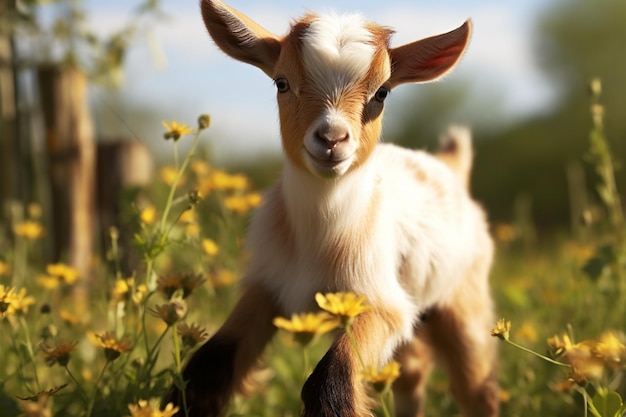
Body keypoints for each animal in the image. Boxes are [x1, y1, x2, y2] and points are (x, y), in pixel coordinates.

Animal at [166, 1, 498, 414]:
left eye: (382, 93)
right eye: (281, 82)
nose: (331, 138)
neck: (320, 236)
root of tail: (451, 164)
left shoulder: (380, 301)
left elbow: (331, 378)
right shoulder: (267, 287)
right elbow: (209, 366)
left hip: (463, 299)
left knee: (476, 385)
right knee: (412, 372)